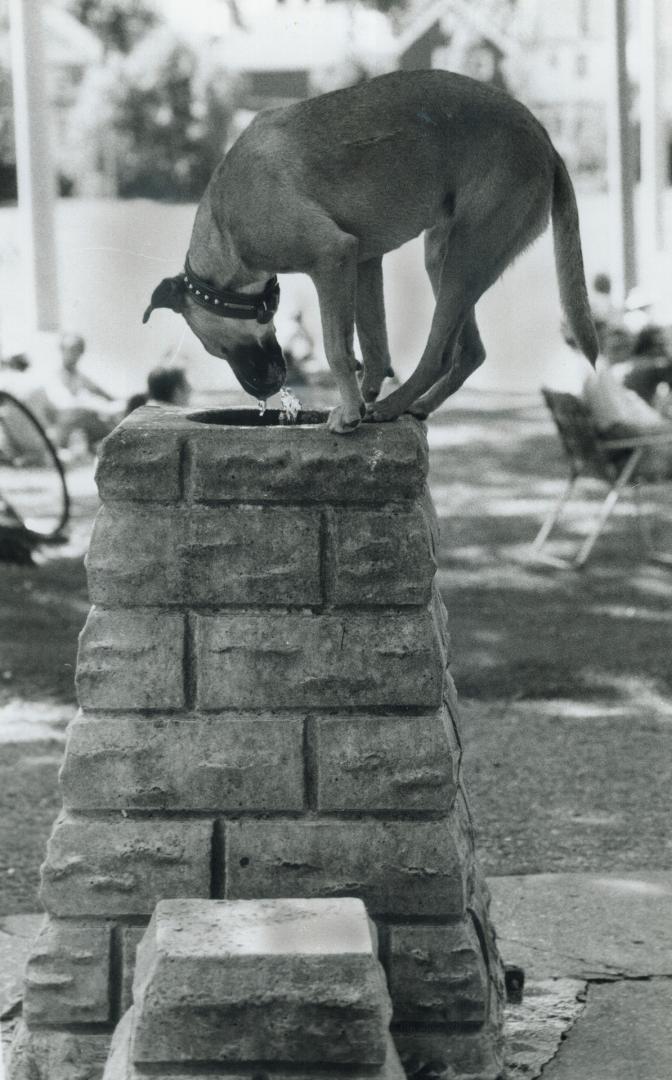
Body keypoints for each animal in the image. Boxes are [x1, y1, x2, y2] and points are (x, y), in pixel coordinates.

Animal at [144, 69, 596, 434]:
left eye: (216, 349)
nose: (266, 390)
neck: (225, 226)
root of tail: (545, 140)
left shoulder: (332, 257)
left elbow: (337, 347)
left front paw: (350, 412)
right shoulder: (362, 263)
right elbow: (372, 343)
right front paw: (362, 396)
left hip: (466, 257)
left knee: (439, 354)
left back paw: (394, 405)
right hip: (444, 255)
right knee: (469, 352)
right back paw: (416, 406)